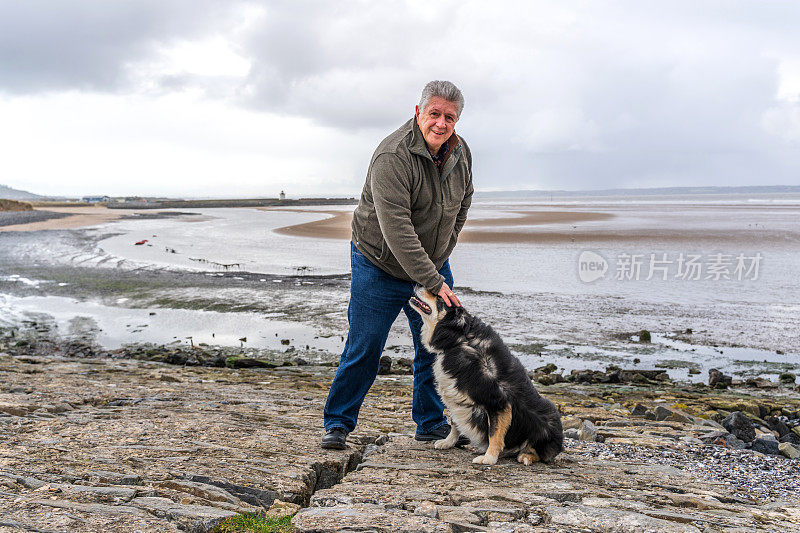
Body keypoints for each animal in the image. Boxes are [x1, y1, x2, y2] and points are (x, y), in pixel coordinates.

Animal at [412, 284, 564, 464]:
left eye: (439, 297)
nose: (418, 284)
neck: (460, 339)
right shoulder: (456, 394)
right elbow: (455, 422)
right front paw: (448, 442)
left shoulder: (497, 401)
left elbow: (494, 433)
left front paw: (489, 458)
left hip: (548, 420)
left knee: (539, 452)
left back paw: (526, 455)